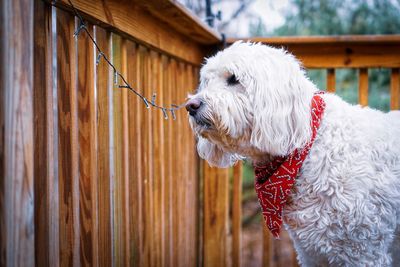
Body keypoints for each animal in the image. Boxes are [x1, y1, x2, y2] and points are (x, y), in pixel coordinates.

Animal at [186, 40, 400, 266]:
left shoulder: (363, 249)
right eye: (207, 81)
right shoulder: (311, 252)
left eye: (233, 79)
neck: (306, 146)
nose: (190, 106)